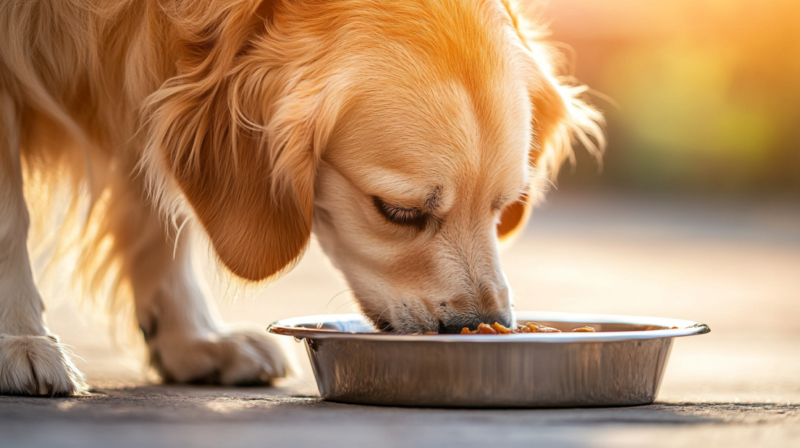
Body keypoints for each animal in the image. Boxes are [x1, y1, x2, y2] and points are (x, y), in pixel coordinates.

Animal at [0, 0, 600, 396]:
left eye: (502, 205)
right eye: (397, 212)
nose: (477, 326)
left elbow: (159, 216)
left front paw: (192, 339)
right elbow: (11, 219)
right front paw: (19, 341)